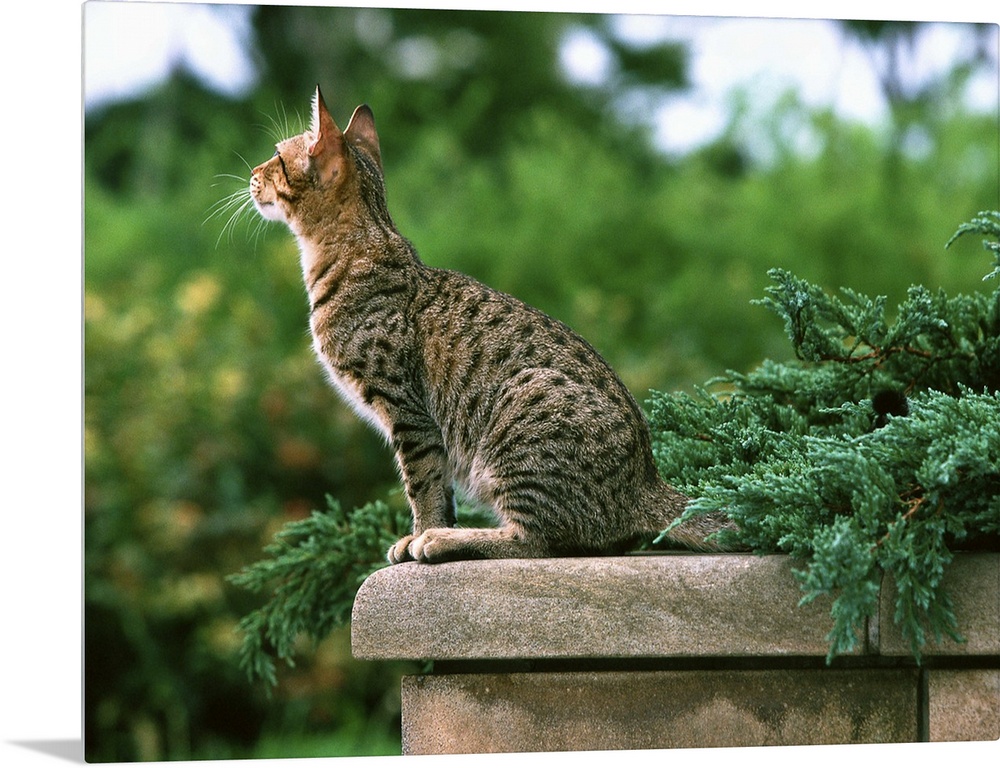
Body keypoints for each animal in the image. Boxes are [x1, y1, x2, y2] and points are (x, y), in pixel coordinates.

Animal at [249, 86, 733, 563]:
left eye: (276, 156)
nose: (252, 171)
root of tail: (646, 481)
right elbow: (440, 489)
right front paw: (429, 530)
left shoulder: (409, 414)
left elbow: (422, 486)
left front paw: (425, 533)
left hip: (519, 418)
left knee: (537, 542)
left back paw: (448, 541)